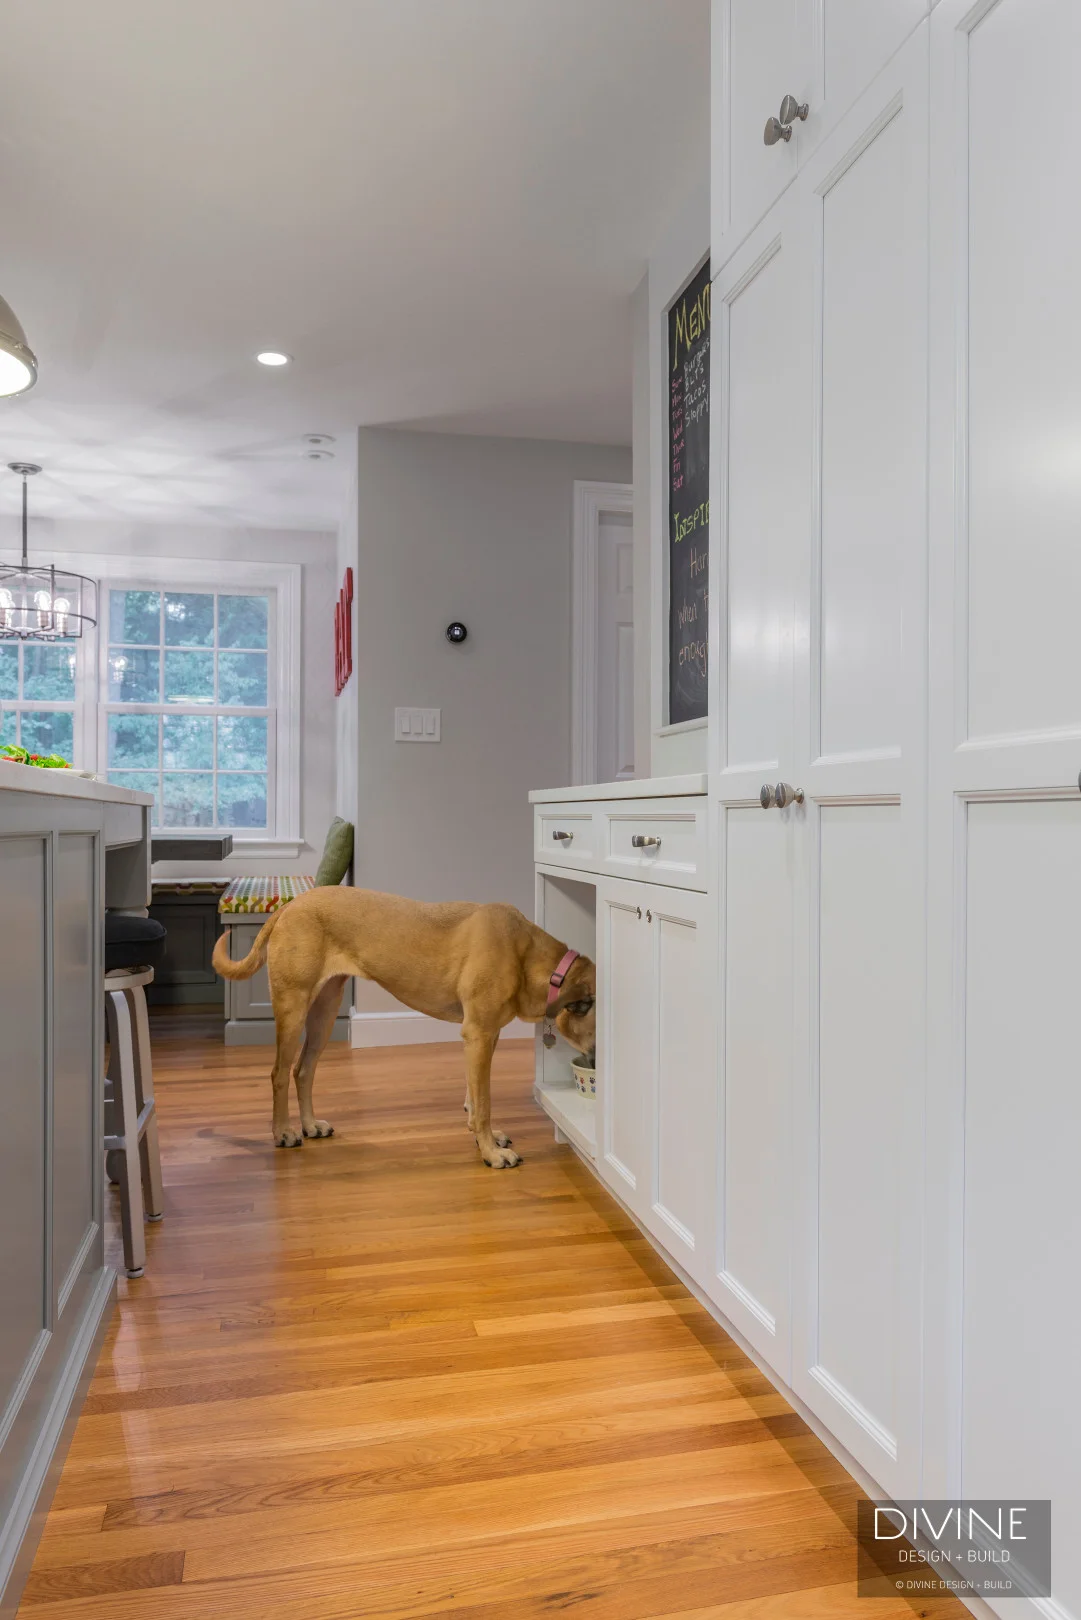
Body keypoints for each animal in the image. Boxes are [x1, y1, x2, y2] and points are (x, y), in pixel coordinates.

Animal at [212, 886, 596, 1167]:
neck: (527, 957)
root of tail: (291, 905)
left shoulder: (484, 1037)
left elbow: (474, 1095)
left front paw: (481, 1136)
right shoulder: (479, 1034)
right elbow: (484, 1102)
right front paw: (490, 1151)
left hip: (325, 1011)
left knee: (303, 1070)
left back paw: (309, 1126)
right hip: (293, 1007)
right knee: (279, 1073)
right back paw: (283, 1132)